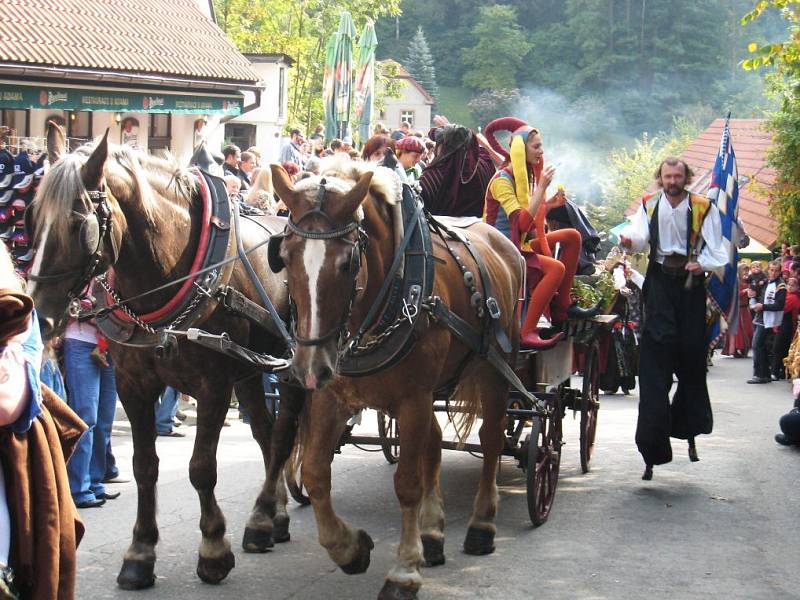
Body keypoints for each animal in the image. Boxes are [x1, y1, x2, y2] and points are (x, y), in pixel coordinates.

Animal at [266, 158, 520, 600]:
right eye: (283, 255)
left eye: (348, 263)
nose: (308, 369)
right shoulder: (332, 397)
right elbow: (315, 473)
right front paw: (349, 548)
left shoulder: (413, 399)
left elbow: (407, 483)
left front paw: (404, 570)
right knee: (435, 441)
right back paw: (433, 533)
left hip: (493, 368)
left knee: (491, 439)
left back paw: (482, 525)